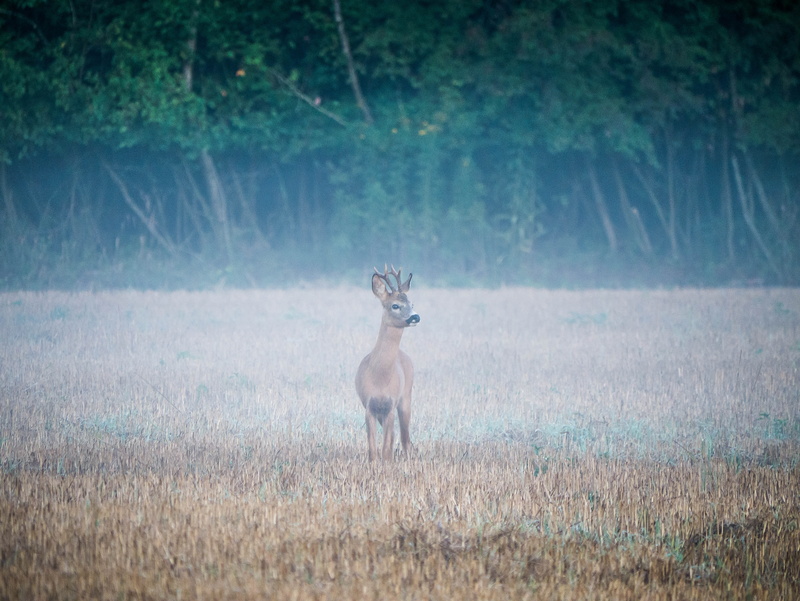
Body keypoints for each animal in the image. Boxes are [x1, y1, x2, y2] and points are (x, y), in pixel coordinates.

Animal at [356, 265, 420, 461]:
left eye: (412, 304)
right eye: (395, 305)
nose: (416, 317)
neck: (380, 377)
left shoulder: (391, 405)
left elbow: (385, 449)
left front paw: (387, 463)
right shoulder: (369, 406)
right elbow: (372, 449)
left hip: (406, 397)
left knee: (405, 437)